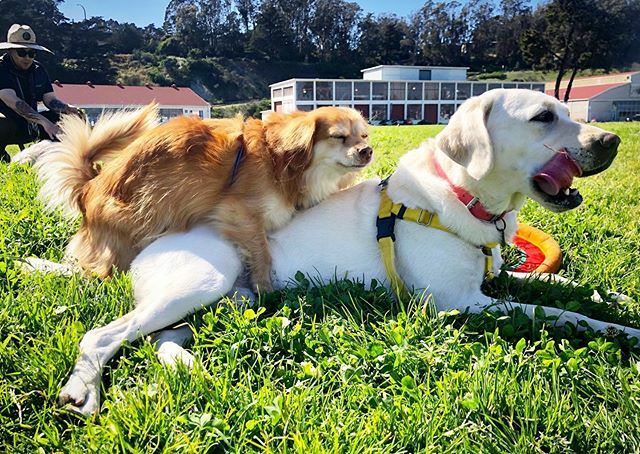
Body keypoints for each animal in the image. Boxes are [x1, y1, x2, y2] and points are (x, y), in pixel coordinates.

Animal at [35, 104, 372, 290]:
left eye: (364, 135)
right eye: (340, 137)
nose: (367, 150)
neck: (283, 161)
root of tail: (89, 187)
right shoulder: (238, 212)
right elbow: (262, 252)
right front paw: (265, 288)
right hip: (125, 235)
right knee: (92, 272)